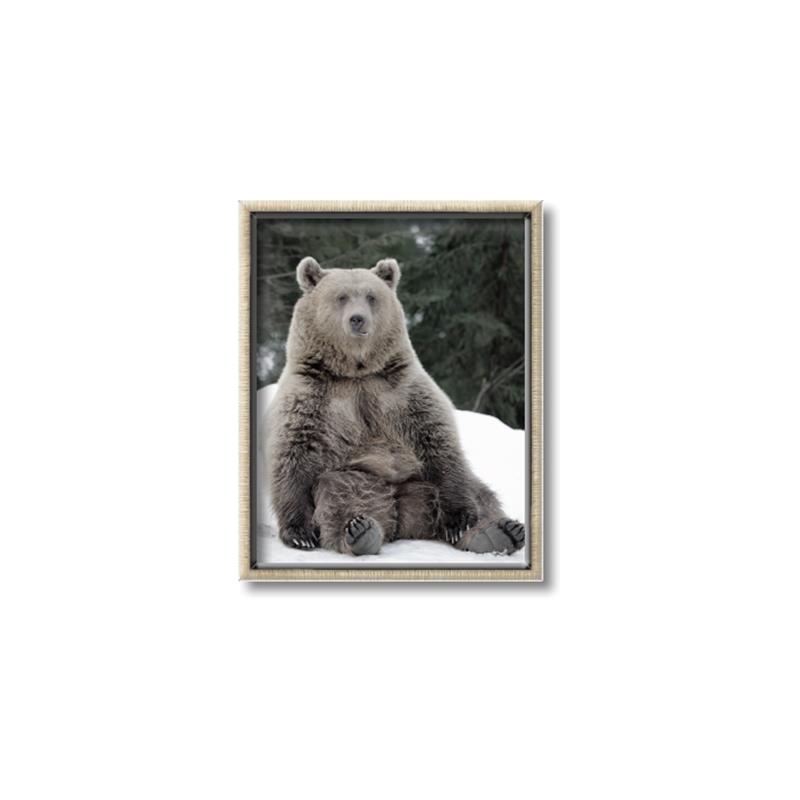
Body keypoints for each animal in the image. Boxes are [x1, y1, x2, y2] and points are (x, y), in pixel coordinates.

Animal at [264, 255, 526, 556]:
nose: (358, 319)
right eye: (341, 296)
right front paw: (300, 533)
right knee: (340, 495)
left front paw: (459, 520)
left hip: (422, 481)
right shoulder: (314, 396)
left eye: (371, 296)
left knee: (479, 493)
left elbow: (438, 440)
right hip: (360, 478)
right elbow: (294, 453)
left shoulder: (402, 390)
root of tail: (403, 515)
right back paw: (360, 531)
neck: (357, 371)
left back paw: (499, 532)